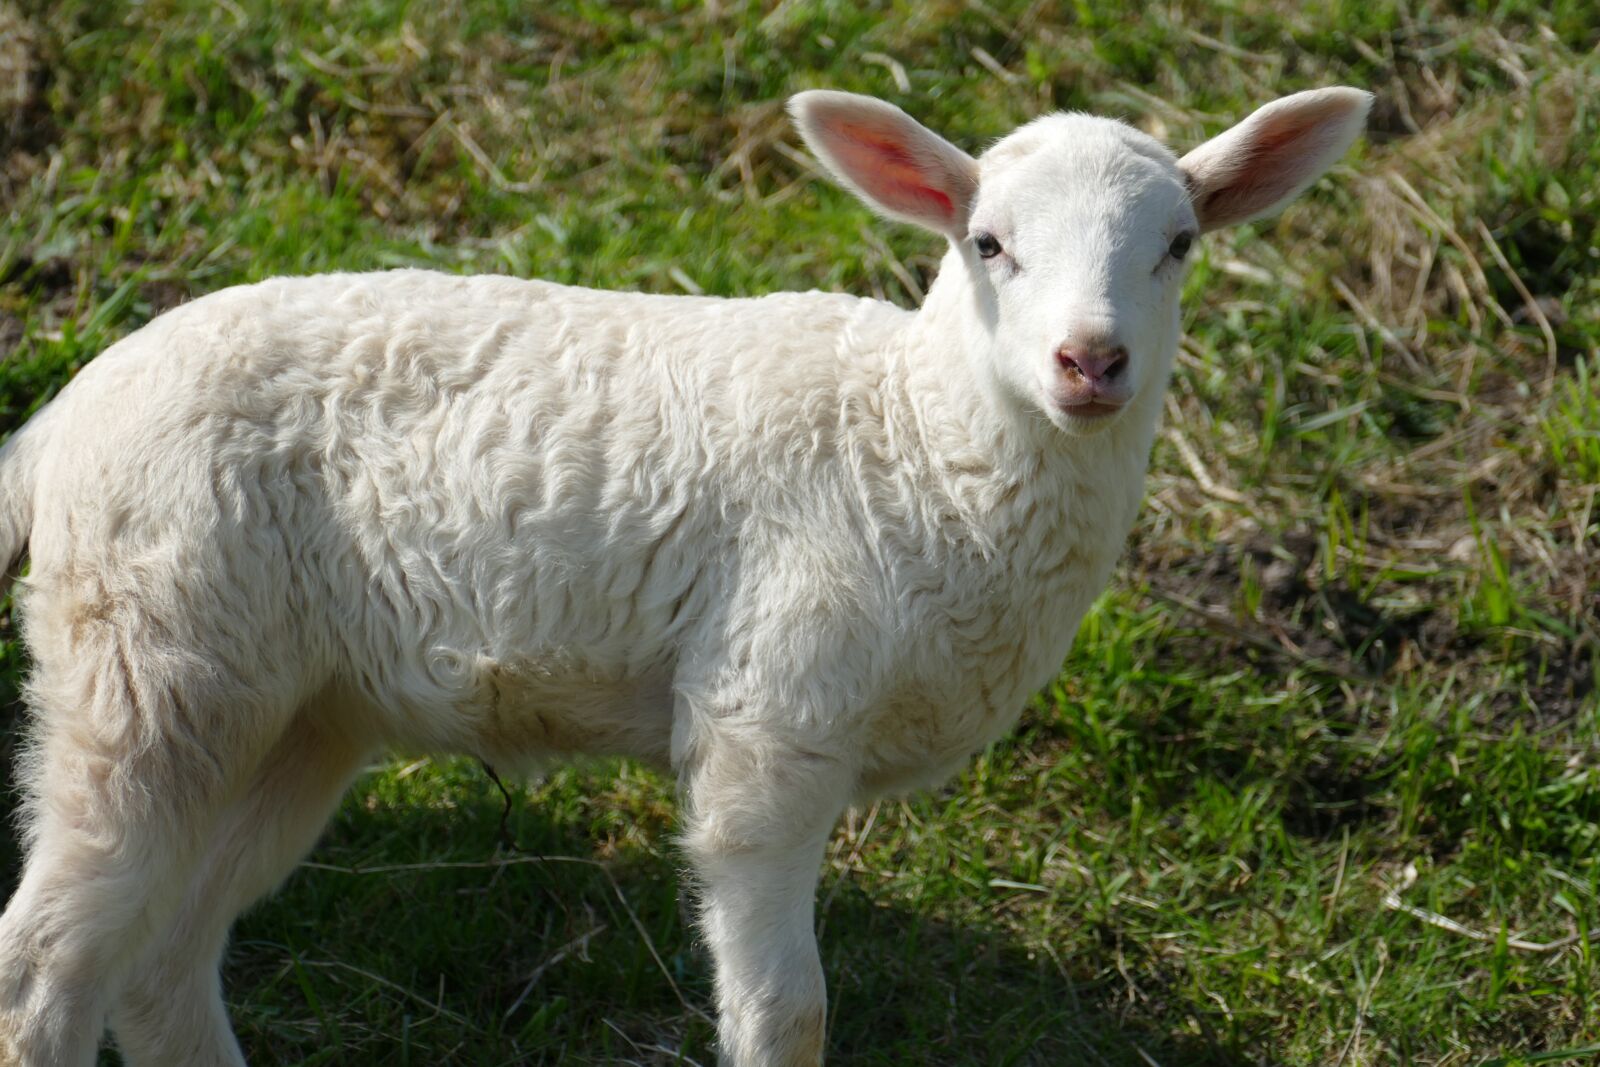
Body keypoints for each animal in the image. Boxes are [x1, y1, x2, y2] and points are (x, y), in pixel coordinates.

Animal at [0, 86, 1371, 1066]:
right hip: (150, 651)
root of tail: (64, 422)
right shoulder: (771, 714)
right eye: (987, 244)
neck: (917, 444)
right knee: (44, 959)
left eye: (1179, 244)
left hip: (291, 707)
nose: (1092, 362)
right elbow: (787, 1014)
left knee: (160, 963)